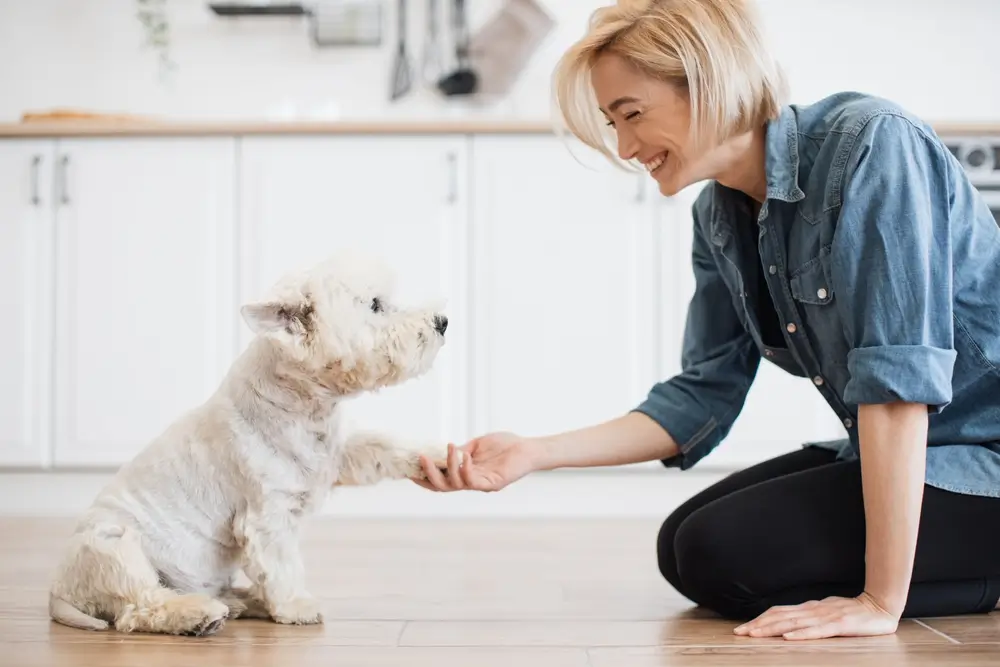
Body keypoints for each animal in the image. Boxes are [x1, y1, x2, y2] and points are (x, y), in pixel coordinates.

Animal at [47, 250, 454, 636]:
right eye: (374, 305)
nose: (443, 322)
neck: (303, 402)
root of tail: (60, 592)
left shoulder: (339, 454)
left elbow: (380, 446)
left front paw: (439, 457)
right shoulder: (267, 514)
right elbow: (281, 564)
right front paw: (297, 606)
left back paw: (241, 602)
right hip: (113, 547)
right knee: (140, 606)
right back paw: (200, 614)